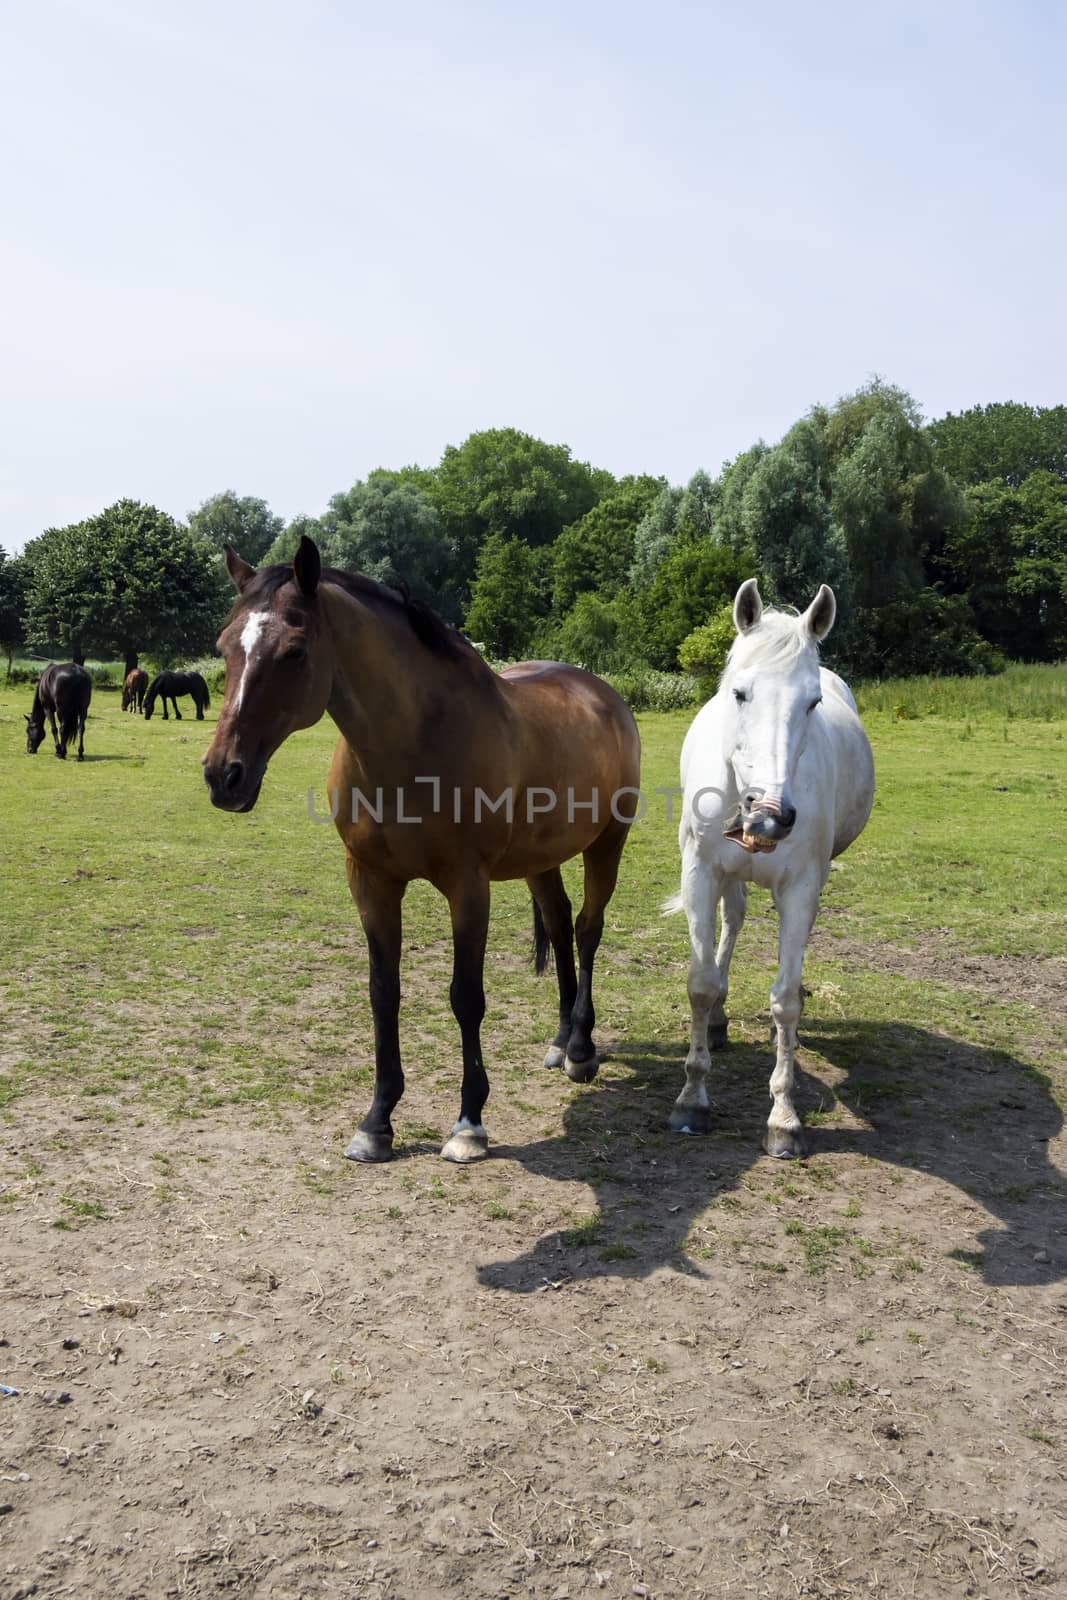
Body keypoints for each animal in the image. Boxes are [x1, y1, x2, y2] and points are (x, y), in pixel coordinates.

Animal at [202, 537, 643, 1164]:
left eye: (294, 650)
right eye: (223, 646)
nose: (224, 777)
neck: (413, 745)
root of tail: (601, 693)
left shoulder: (468, 886)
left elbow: (466, 997)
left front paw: (469, 1123)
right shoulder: (371, 881)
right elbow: (383, 995)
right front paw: (377, 1122)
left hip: (607, 843)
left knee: (587, 929)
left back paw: (581, 1048)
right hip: (541, 860)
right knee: (559, 926)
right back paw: (560, 1042)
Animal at [668, 582, 876, 1158]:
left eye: (813, 702)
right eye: (740, 694)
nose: (769, 815)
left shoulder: (802, 888)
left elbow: (785, 1001)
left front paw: (784, 1117)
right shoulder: (700, 875)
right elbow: (700, 983)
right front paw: (692, 1099)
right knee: (732, 922)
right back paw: (718, 1021)